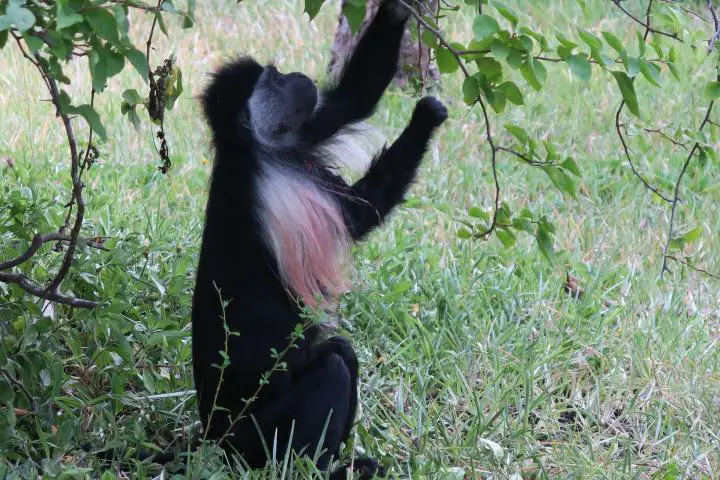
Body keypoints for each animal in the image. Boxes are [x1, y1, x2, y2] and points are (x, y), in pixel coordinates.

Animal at [194, 1, 448, 478]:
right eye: (274, 79)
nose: (297, 76)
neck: (247, 146)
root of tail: (214, 436)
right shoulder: (285, 185)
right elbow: (359, 216)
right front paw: (426, 115)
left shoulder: (298, 134)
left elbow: (351, 99)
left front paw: (396, 10)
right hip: (259, 431)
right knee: (335, 365)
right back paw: (323, 468)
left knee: (342, 356)